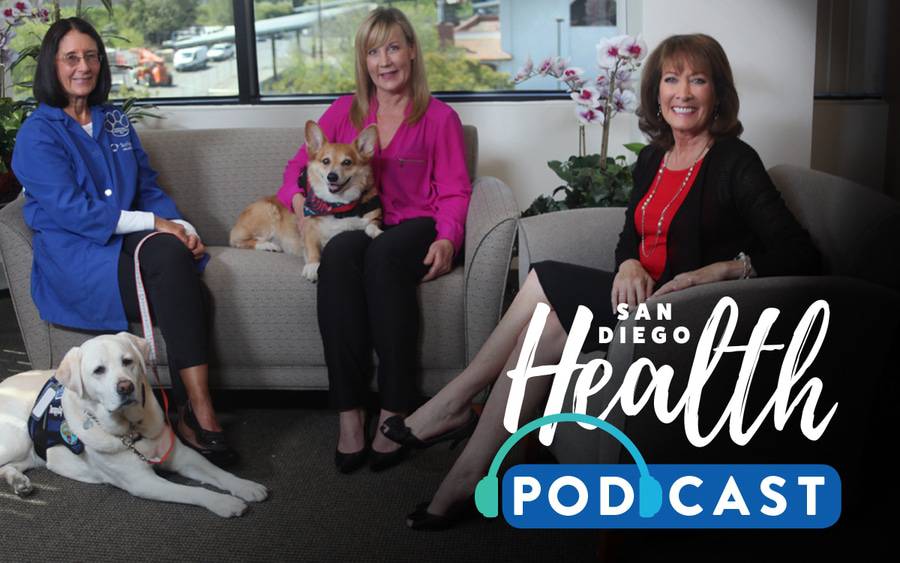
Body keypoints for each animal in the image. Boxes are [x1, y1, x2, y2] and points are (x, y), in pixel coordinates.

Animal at [0, 332, 268, 516]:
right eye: (98, 370)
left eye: (127, 361)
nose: (126, 387)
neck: (132, 430)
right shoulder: (142, 482)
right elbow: (193, 491)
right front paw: (223, 502)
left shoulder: (184, 456)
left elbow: (218, 472)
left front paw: (245, 486)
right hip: (17, 439)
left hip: (29, 453)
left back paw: (19, 482)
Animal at [230, 122, 382, 282]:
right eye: (326, 161)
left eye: (347, 162)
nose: (332, 177)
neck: (338, 206)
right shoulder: (309, 229)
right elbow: (313, 249)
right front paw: (313, 267)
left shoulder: (374, 218)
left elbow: (371, 226)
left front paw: (378, 233)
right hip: (267, 214)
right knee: (238, 241)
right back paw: (267, 245)